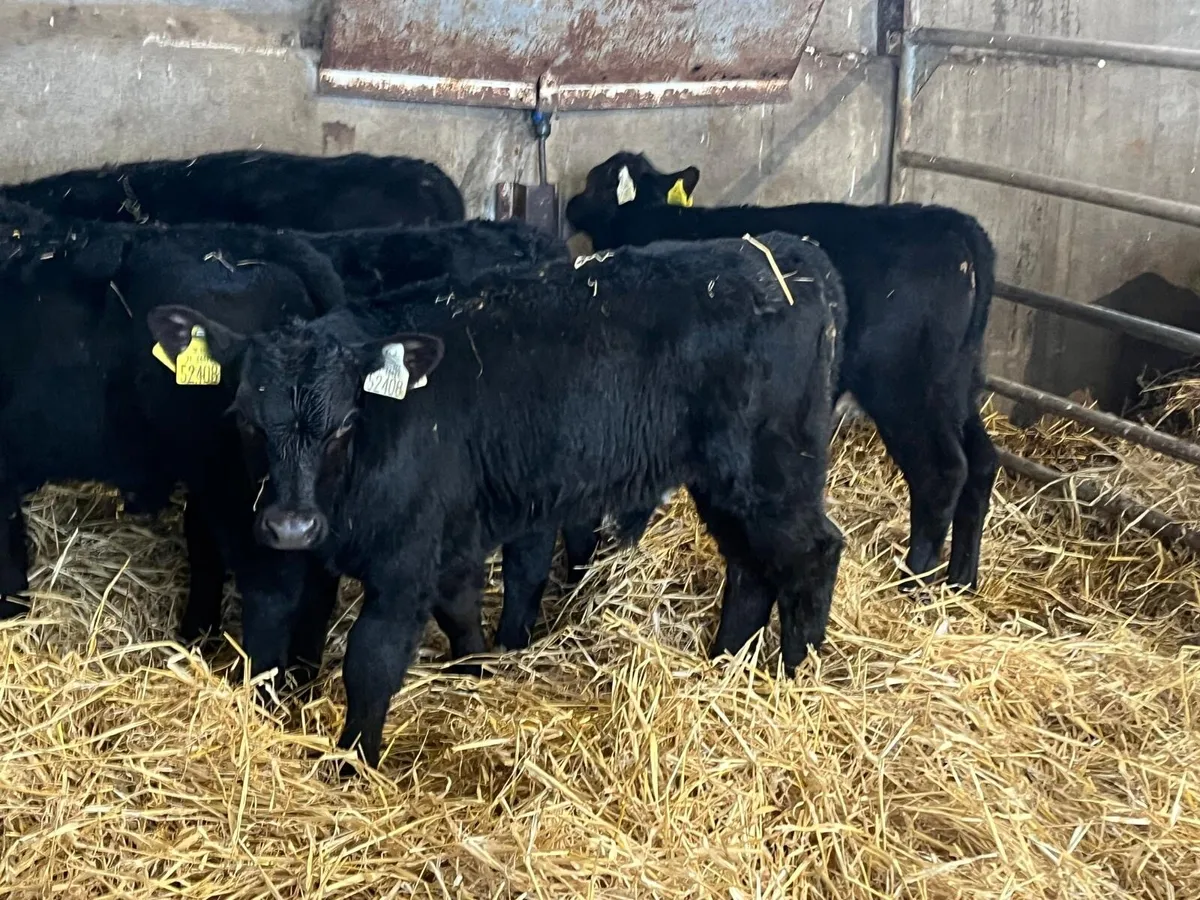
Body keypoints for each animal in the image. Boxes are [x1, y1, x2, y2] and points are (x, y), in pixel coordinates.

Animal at [148, 232, 847, 769]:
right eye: (245, 421)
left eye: (345, 425)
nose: (291, 526)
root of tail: (788, 255)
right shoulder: (439, 535)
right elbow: (457, 610)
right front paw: (477, 673)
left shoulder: (405, 558)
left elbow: (372, 661)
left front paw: (350, 765)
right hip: (726, 480)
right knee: (751, 566)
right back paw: (724, 667)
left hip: (773, 467)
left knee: (813, 554)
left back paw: (797, 680)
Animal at [565, 151, 998, 592]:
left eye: (594, 182)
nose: (570, 205)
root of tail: (955, 224)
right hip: (956, 382)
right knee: (982, 461)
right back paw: (962, 578)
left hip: (904, 388)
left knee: (941, 472)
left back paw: (913, 581)